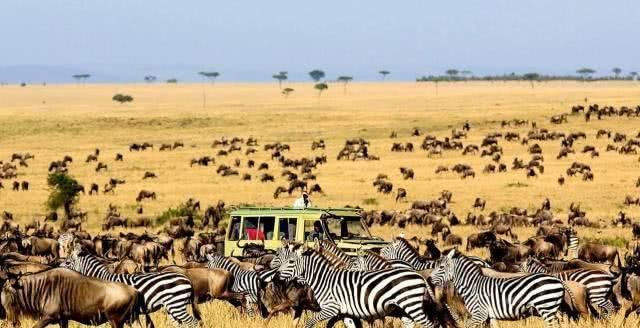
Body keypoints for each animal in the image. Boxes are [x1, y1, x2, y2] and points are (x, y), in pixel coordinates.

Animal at [60, 242, 200, 326]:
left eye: (67, 262)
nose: (57, 269)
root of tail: (186, 279)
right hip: (172, 307)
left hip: (176, 305)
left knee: (193, 322)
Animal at [278, 246, 440, 328]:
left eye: (291, 262)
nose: (277, 275)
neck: (324, 280)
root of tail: (418, 274)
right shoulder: (345, 312)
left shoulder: (331, 308)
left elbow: (309, 322)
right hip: (405, 308)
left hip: (411, 305)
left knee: (430, 324)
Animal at [430, 250, 564, 326]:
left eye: (441, 267)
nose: (429, 279)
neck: (472, 286)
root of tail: (559, 281)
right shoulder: (491, 315)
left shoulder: (479, 314)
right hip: (551, 309)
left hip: (546, 308)